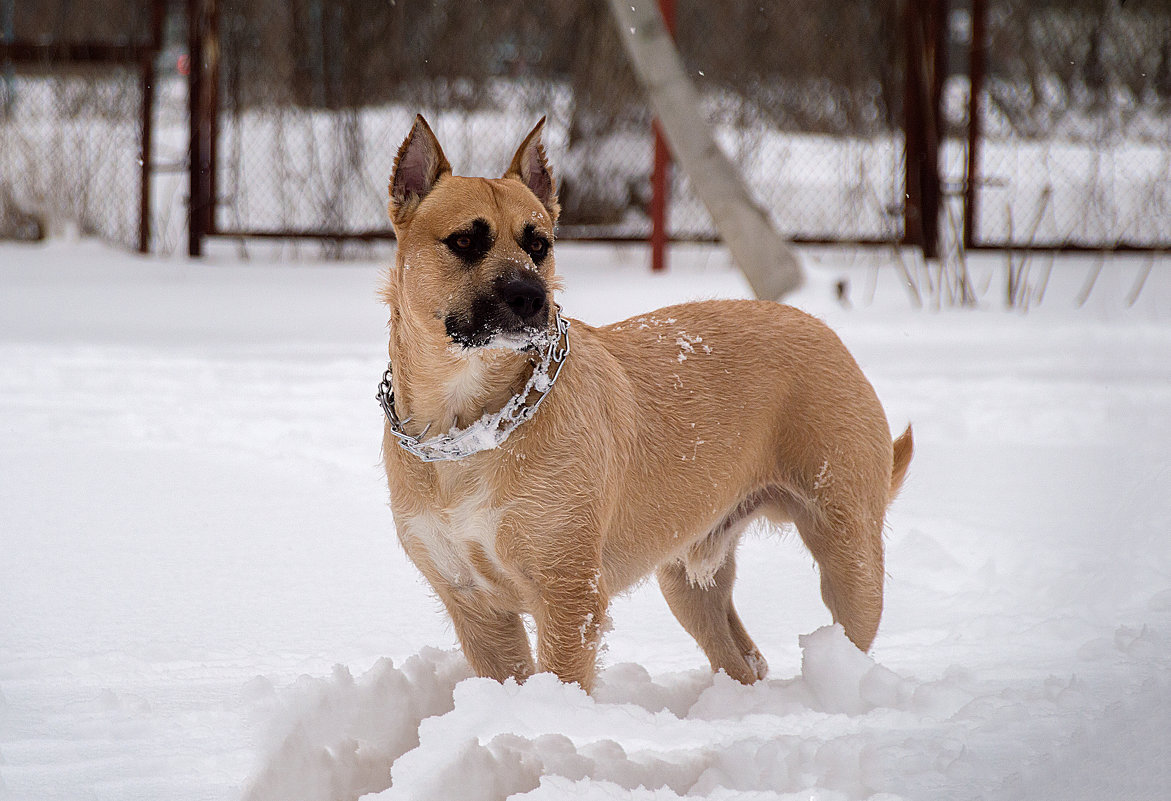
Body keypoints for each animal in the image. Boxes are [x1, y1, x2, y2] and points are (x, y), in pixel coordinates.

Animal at [379, 114, 908, 693]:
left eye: (539, 244)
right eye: (465, 241)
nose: (533, 297)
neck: (469, 425)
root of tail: (824, 329)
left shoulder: (570, 597)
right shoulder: (476, 608)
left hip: (849, 555)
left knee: (848, 641)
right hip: (689, 584)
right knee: (743, 660)